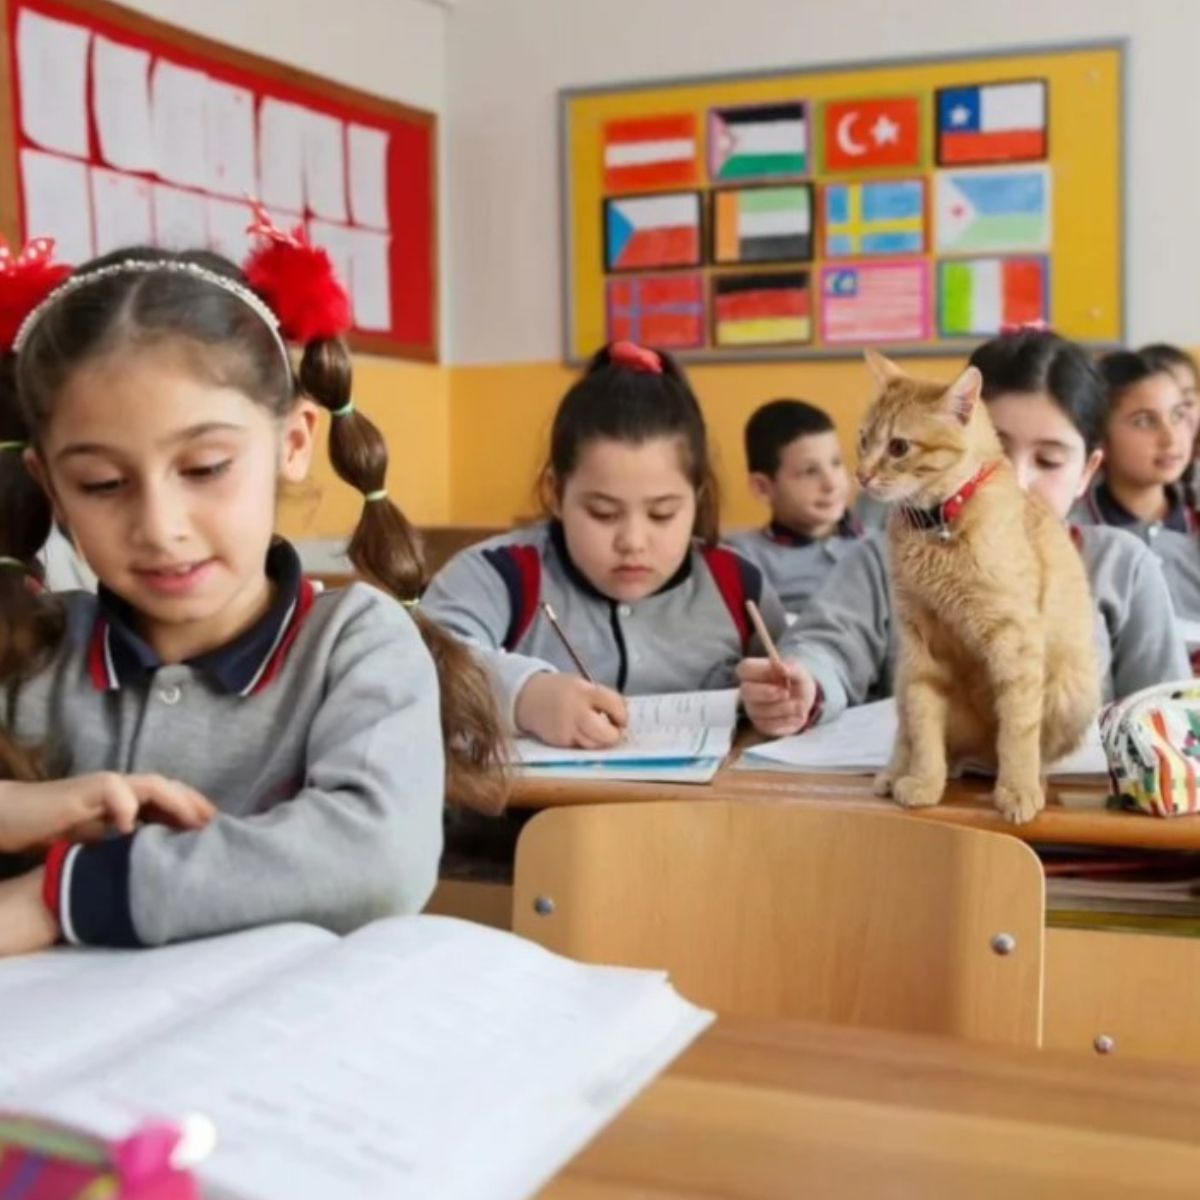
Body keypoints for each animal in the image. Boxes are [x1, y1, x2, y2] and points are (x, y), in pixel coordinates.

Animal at [854, 348, 1099, 825]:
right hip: (903, 678)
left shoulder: (1016, 642)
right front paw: (924, 781)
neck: (937, 526)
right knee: (909, 733)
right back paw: (896, 772)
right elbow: (923, 727)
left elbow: (1019, 730)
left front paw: (1018, 789)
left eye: (898, 447)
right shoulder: (920, 649)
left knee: (1031, 748)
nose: (862, 476)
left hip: (1072, 689)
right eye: (863, 439)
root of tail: (978, 761)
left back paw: (1031, 780)